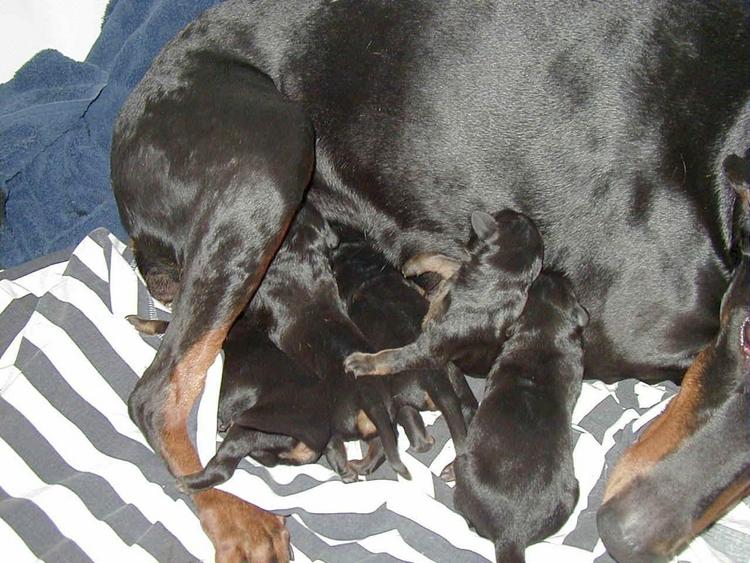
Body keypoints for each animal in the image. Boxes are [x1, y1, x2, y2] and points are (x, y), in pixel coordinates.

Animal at [344, 209, 544, 382]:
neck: (497, 278)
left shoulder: (428, 350)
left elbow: (394, 356)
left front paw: (363, 362)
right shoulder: (460, 270)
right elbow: (445, 260)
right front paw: (414, 264)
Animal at [456, 270, 592, 560]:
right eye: (569, 289)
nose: (551, 269)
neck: (545, 334)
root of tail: (512, 535)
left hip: (463, 465)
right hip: (571, 492)